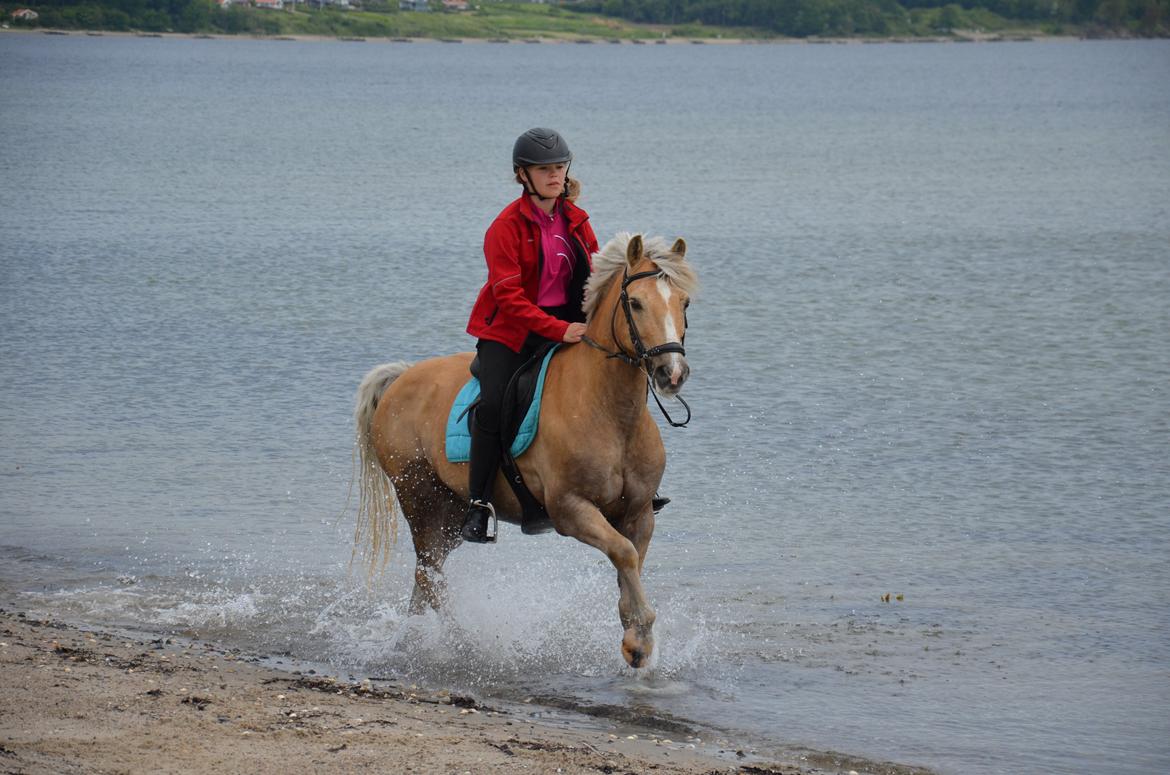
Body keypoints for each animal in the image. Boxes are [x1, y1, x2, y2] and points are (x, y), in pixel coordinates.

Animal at [348, 234, 692, 669]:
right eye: (635, 303)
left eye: (684, 302)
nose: (672, 373)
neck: (609, 412)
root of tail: (401, 378)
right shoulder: (570, 510)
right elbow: (624, 553)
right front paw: (639, 639)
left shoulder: (640, 512)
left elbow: (629, 562)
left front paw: (635, 633)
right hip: (420, 498)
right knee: (428, 574)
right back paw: (462, 643)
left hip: (450, 513)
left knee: (426, 577)